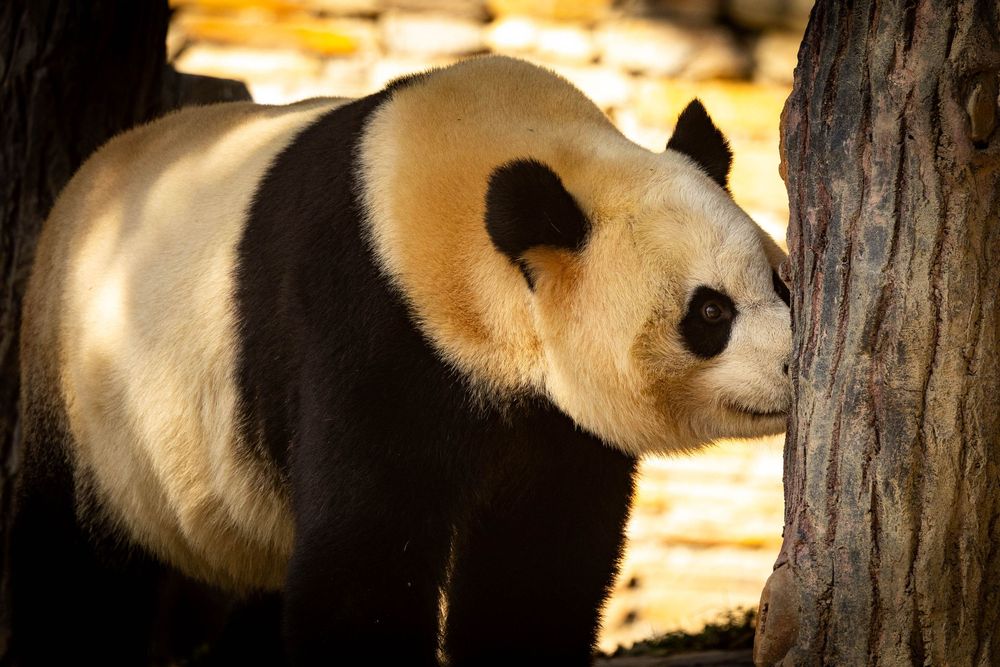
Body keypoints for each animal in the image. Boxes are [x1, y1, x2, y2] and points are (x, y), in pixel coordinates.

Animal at [11, 56, 791, 665]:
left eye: (785, 281)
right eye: (710, 312)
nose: (792, 366)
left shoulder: (554, 416)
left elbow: (538, 559)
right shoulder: (366, 326)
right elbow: (364, 555)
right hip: (99, 413)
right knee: (76, 566)